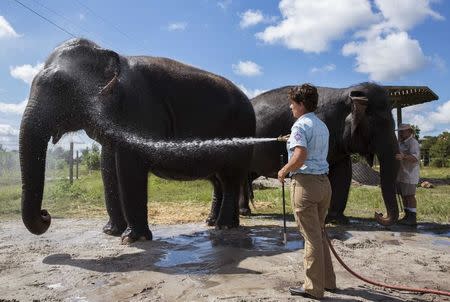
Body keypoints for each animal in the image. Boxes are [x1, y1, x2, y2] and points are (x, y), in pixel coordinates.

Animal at [20, 38, 256, 243]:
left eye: (60, 86)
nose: (46, 214)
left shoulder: (139, 109)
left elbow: (129, 166)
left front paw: (132, 239)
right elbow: (107, 168)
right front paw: (111, 232)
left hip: (241, 132)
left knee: (229, 178)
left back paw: (224, 226)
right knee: (219, 180)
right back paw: (215, 223)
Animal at [241, 84, 400, 225]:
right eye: (380, 124)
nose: (379, 214)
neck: (345, 93)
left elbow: (343, 173)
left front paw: (338, 220)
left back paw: (244, 212)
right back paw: (244, 213)